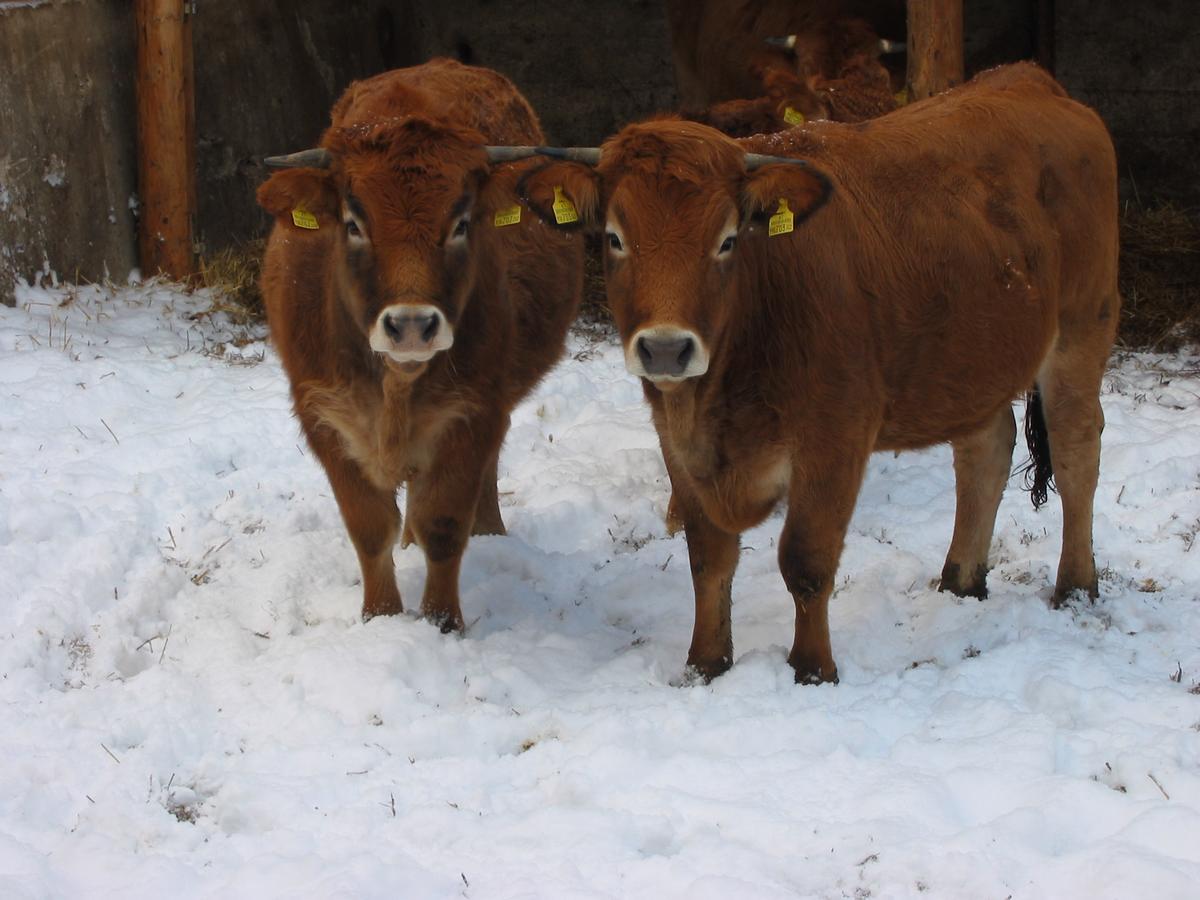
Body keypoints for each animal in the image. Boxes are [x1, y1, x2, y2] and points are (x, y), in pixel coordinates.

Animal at [520, 63, 1118, 681]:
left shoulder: (836, 436)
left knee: (1076, 449)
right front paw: (705, 663)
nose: (666, 349)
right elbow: (708, 557)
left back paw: (1076, 586)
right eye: (615, 238)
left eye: (727, 240)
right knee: (986, 451)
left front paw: (812, 669)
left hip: (1082, 325)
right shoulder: (675, 441)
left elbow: (806, 560)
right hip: (972, 359)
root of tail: (1025, 79)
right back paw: (961, 580)